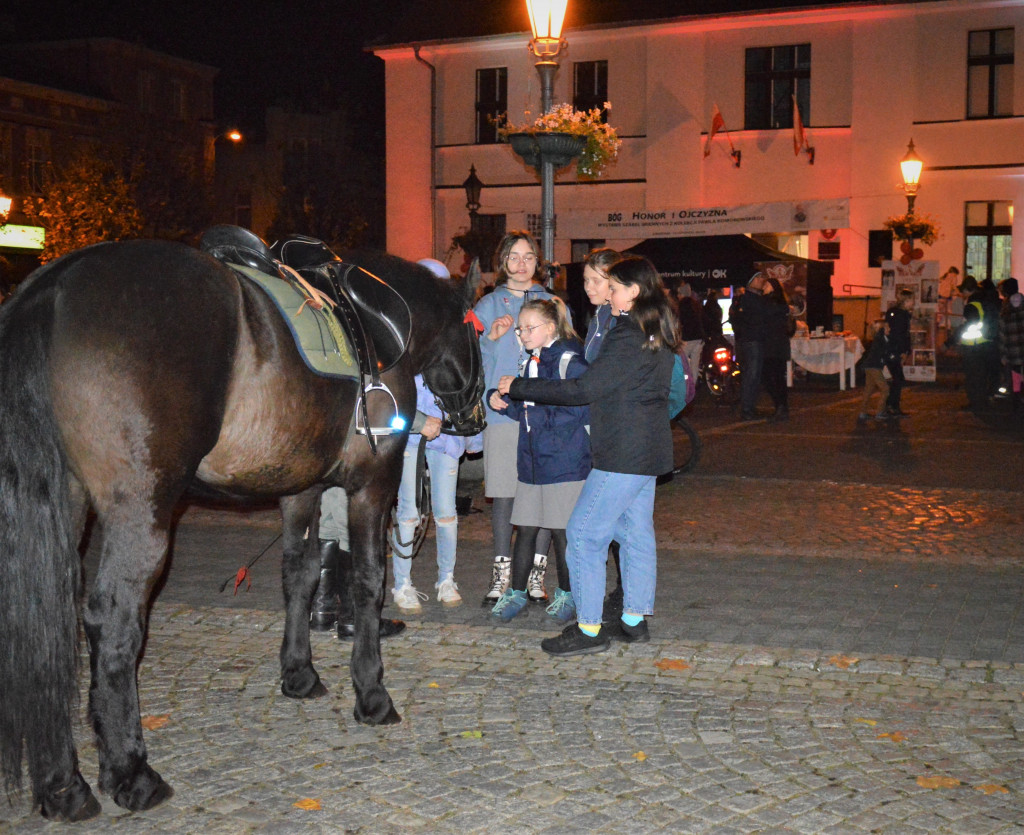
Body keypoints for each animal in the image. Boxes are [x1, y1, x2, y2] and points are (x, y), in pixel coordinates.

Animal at [0, 238, 483, 819]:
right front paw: (371, 693)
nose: (477, 417)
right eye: (479, 332)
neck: (382, 322)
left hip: (65, 504)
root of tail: (55, 284)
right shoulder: (373, 483)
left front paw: (299, 672)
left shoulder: (301, 488)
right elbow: (368, 581)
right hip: (141, 511)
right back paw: (132, 773)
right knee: (112, 625)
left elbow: (299, 575)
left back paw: (63, 786)